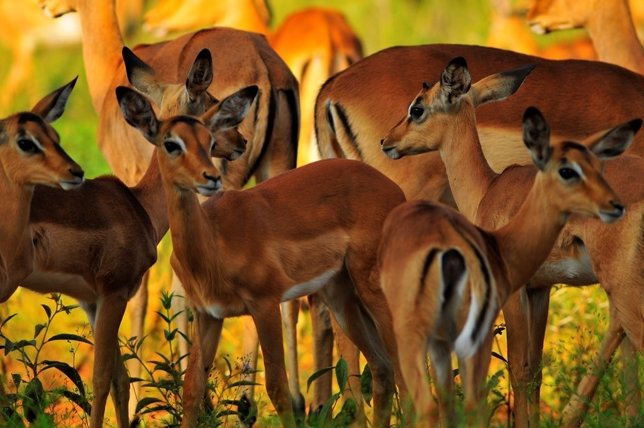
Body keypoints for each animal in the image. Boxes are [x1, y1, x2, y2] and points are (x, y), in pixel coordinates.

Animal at [37, 0, 299, 405]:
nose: (46, 7)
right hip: (278, 172)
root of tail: (265, 64)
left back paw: (237, 401)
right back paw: (292, 403)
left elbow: (146, 296)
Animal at [117, 86, 406, 428]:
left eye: (209, 141)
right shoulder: (208, 315)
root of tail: (395, 191)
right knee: (382, 367)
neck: (213, 242)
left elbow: (277, 387)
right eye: (171, 143)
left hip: (373, 289)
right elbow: (192, 388)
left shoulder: (265, 304)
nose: (210, 177)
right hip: (341, 296)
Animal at [315, 42, 644, 427]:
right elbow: (534, 373)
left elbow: (519, 370)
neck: (489, 188)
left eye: (417, 108)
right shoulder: (540, 290)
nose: (388, 142)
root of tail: (329, 93)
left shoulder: (513, 292)